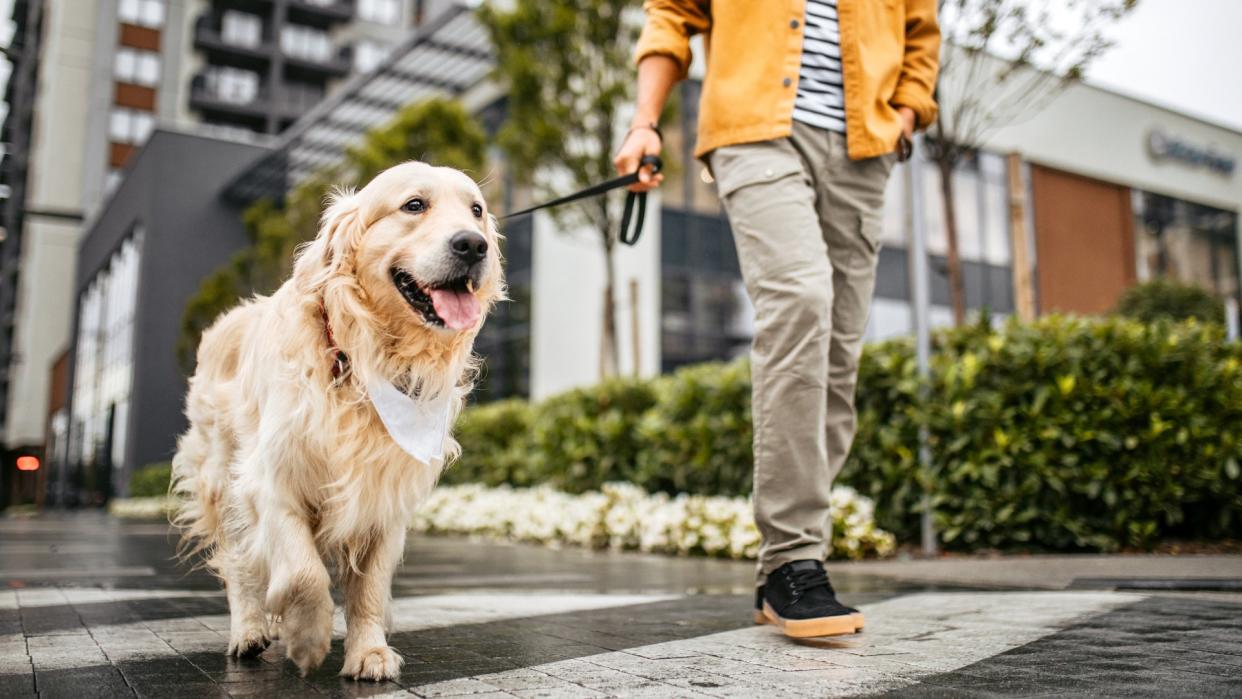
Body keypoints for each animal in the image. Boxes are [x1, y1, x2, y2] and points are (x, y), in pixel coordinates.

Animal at [170, 161, 504, 680]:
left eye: (476, 210)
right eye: (414, 205)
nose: (473, 245)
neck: (363, 360)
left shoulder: (384, 495)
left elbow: (368, 588)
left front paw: (368, 650)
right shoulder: (270, 480)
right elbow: (303, 571)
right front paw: (307, 636)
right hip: (222, 479)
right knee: (240, 562)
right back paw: (249, 630)